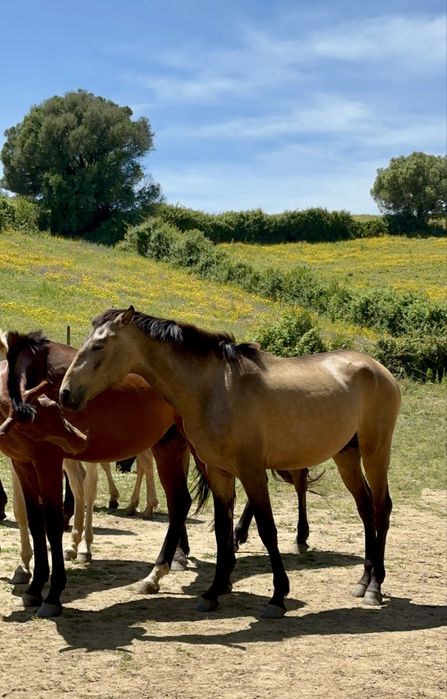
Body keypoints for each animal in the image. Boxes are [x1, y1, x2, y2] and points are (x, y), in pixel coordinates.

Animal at [0, 329, 192, 618]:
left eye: (56, 410)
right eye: (40, 417)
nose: (80, 439)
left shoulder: (48, 462)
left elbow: (52, 524)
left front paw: (53, 595)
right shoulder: (23, 464)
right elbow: (34, 521)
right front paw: (34, 588)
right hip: (168, 445)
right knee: (180, 502)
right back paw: (157, 575)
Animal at [61, 306, 401, 619]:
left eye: (100, 345)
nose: (65, 394)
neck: (215, 389)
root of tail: (378, 369)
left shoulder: (251, 472)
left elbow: (267, 530)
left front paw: (278, 596)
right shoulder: (220, 471)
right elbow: (222, 530)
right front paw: (213, 591)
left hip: (375, 452)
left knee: (381, 508)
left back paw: (375, 587)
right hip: (346, 455)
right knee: (365, 508)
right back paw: (363, 580)